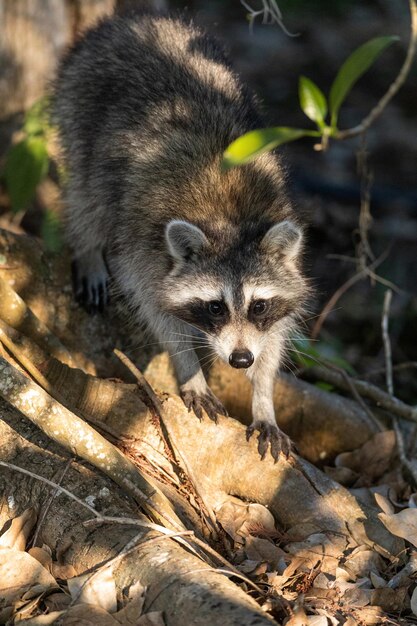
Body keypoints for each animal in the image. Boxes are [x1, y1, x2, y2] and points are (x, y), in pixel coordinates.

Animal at [52, 9, 308, 458]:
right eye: (215, 307)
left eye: (258, 305)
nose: (240, 361)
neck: (230, 219)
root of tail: (132, 20)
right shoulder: (143, 248)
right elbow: (158, 311)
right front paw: (190, 368)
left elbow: (275, 334)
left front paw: (263, 395)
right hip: (79, 101)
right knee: (87, 193)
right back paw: (87, 248)